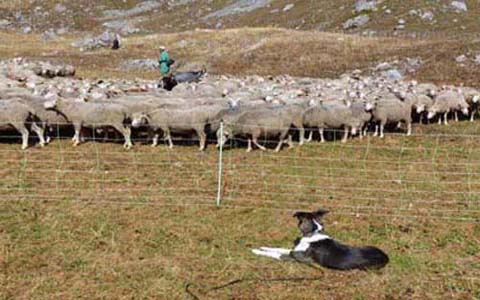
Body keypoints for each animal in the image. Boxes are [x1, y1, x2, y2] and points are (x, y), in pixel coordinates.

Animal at [253, 210, 388, 270]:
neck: (313, 233)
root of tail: (386, 257)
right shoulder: (293, 251)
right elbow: (278, 248)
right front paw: (263, 247)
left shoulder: (295, 257)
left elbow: (275, 254)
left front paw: (256, 251)